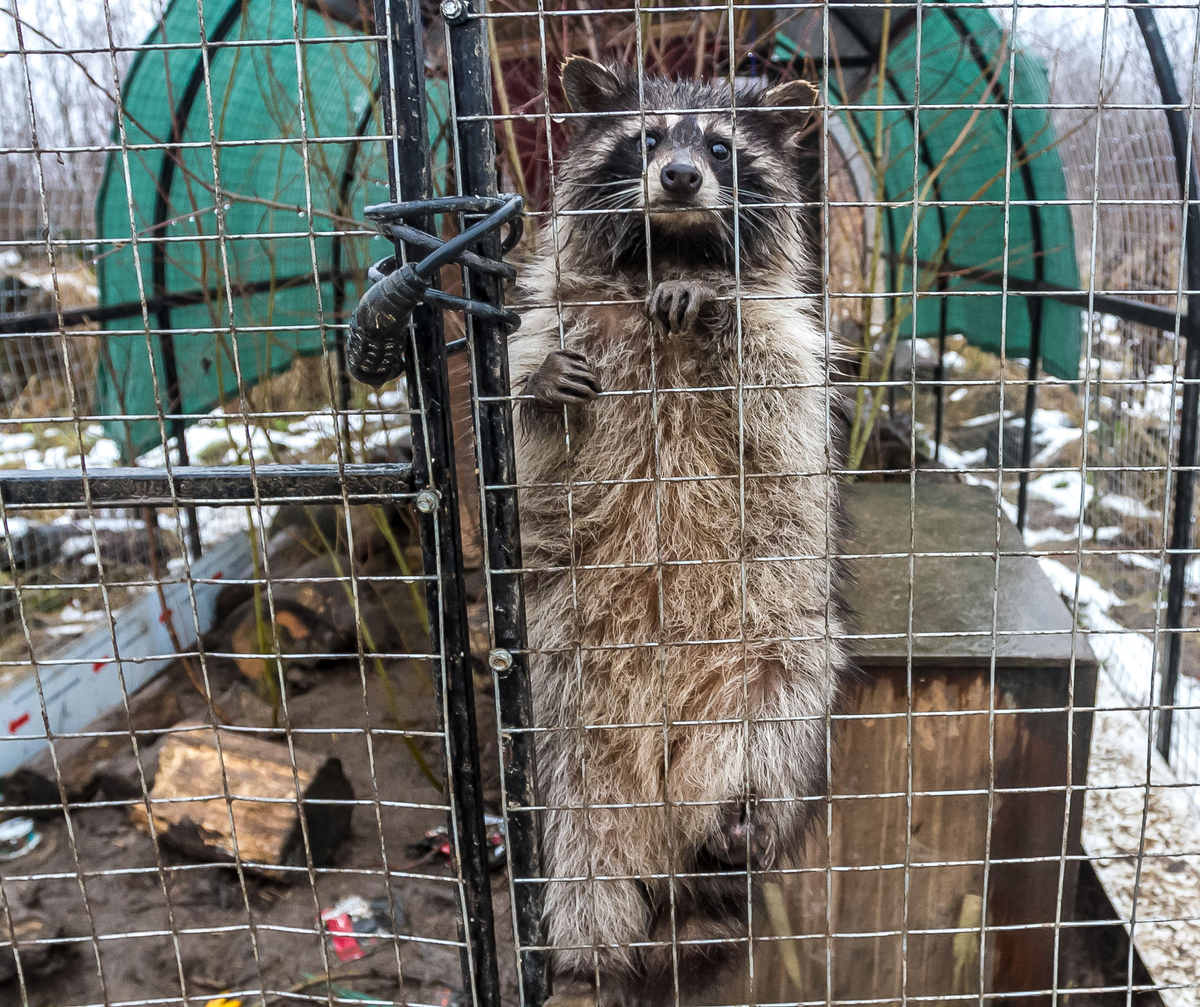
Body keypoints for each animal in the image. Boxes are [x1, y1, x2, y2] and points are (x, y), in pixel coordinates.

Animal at [511, 59, 849, 1003]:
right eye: (650, 137)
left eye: (723, 148)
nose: (681, 176)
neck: (667, 252)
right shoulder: (557, 317)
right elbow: (524, 428)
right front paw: (537, 386)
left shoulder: (791, 340)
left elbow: (773, 391)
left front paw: (711, 303)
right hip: (564, 712)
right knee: (584, 844)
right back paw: (587, 958)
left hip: (778, 667)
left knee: (768, 744)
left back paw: (741, 827)